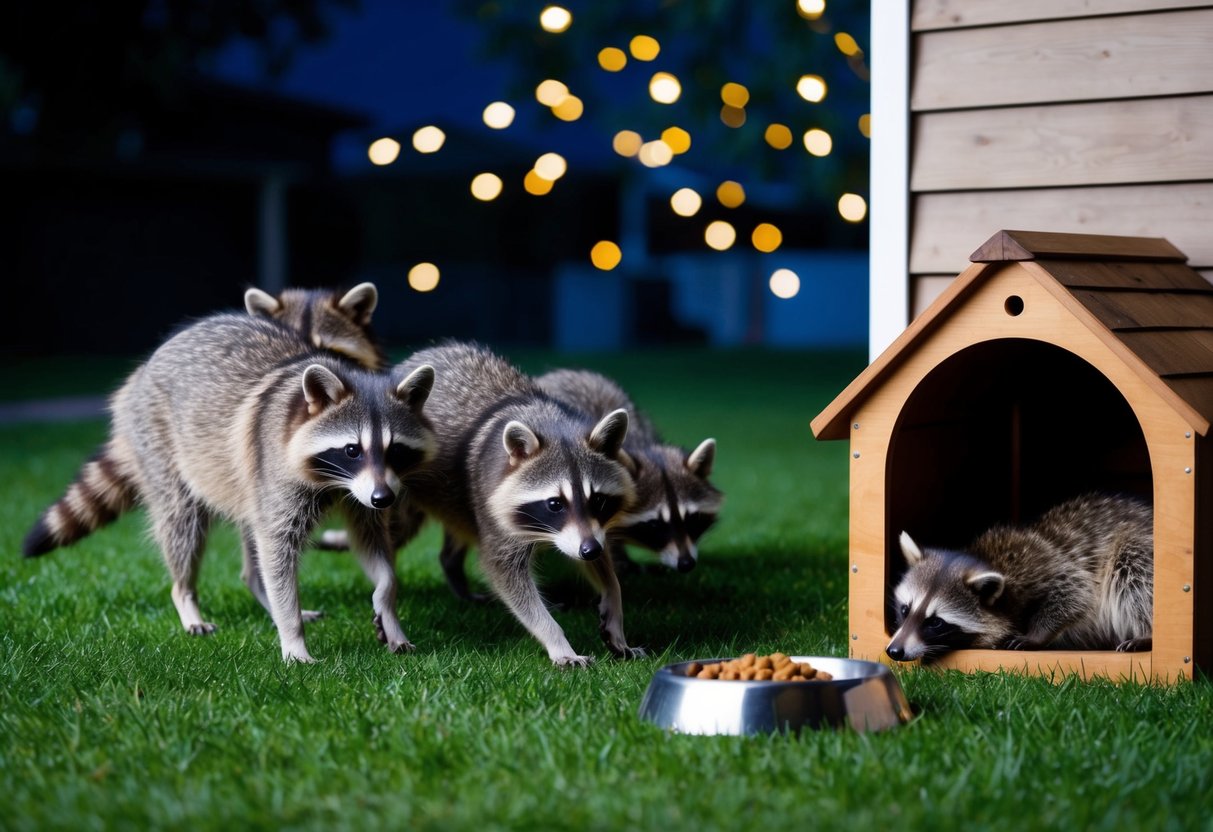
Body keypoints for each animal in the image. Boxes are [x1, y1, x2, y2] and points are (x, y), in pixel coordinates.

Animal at [23, 313, 436, 663]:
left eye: (396, 451)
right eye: (352, 450)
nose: (384, 499)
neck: (334, 480)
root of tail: (141, 372)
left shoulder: (361, 494)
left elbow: (371, 543)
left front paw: (387, 603)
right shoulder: (278, 471)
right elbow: (277, 548)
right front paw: (292, 636)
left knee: (252, 543)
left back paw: (261, 593)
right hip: (160, 443)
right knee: (183, 526)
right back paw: (187, 597)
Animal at [393, 342, 642, 666]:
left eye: (598, 499)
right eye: (554, 504)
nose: (590, 550)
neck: (554, 426)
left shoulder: (588, 531)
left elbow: (601, 561)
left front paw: (613, 599)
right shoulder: (494, 506)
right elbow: (506, 573)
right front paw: (557, 641)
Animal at [886, 494, 1153, 663]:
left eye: (936, 622)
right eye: (905, 609)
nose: (894, 651)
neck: (985, 558)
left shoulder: (1039, 565)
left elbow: (1077, 592)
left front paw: (1036, 634)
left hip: (1139, 549)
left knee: (1134, 568)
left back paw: (1146, 634)